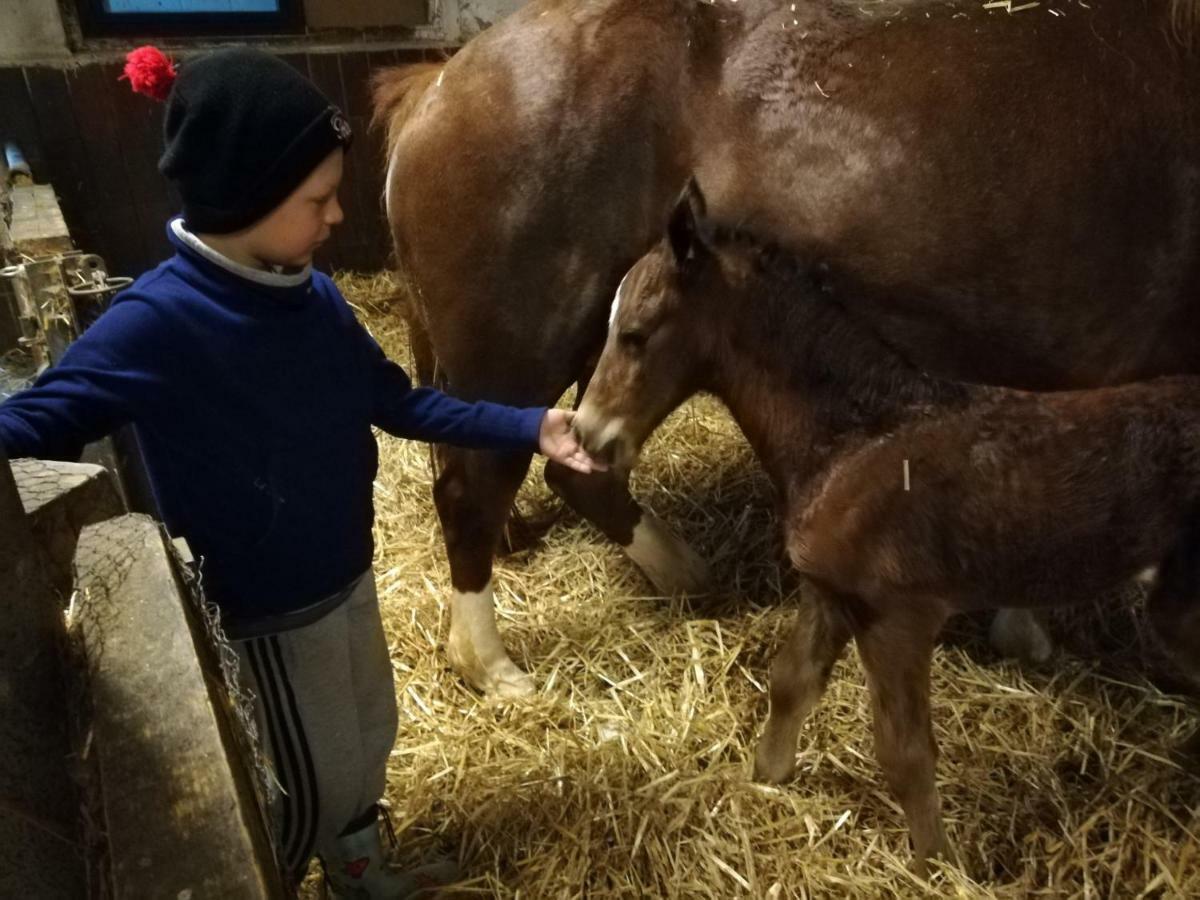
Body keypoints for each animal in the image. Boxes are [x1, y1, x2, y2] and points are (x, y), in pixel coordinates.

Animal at [571, 183, 1200, 873]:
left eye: (635, 334)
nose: (587, 435)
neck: (859, 435)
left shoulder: (900, 615)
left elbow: (905, 754)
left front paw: (937, 867)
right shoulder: (830, 591)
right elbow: (791, 685)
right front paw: (765, 782)